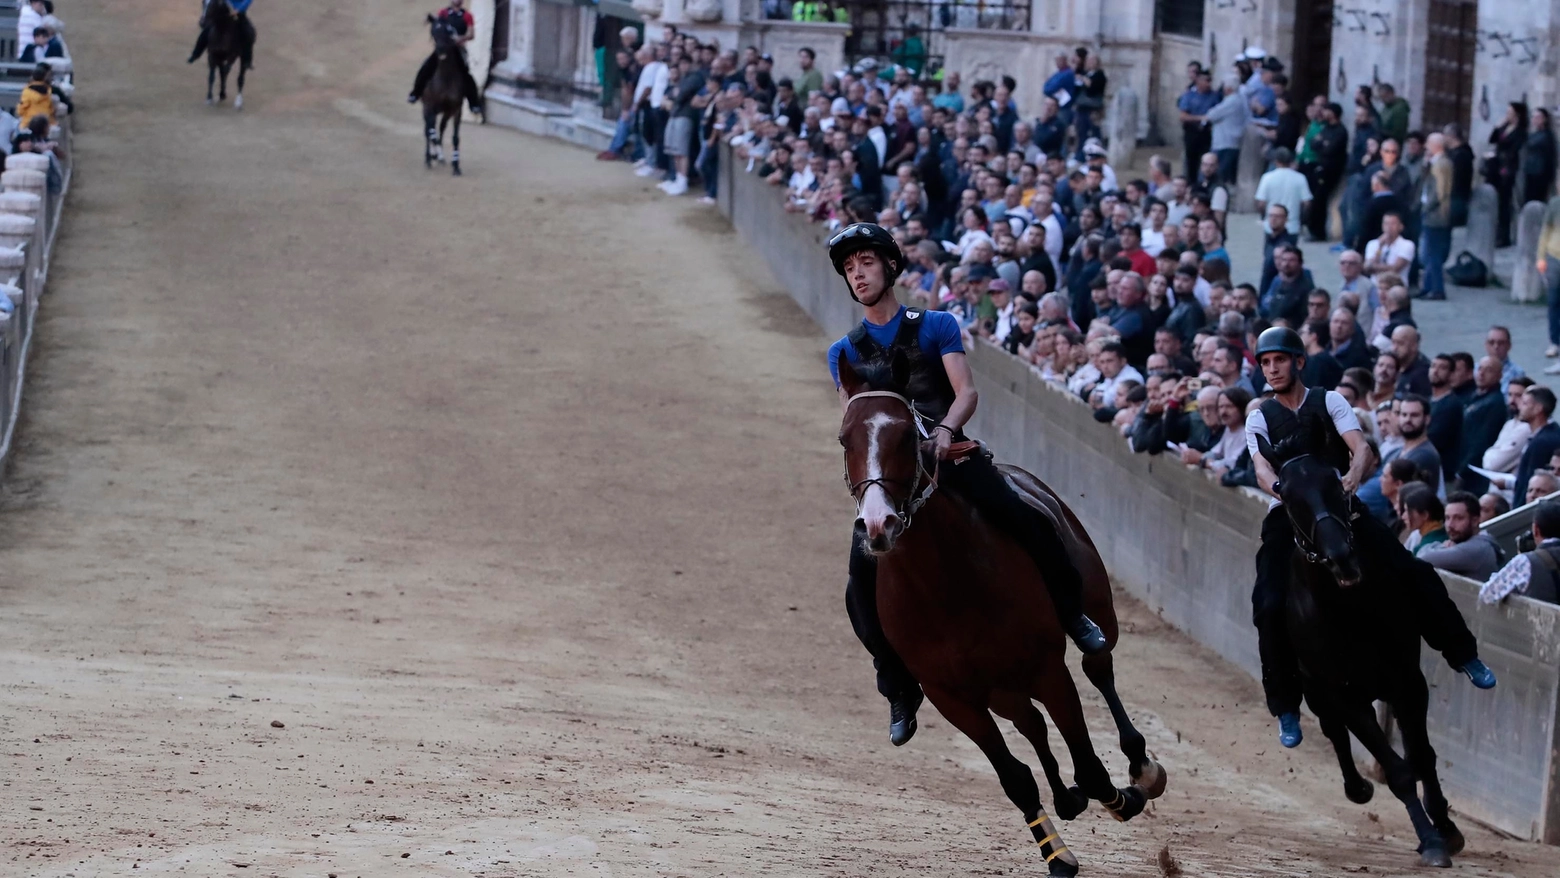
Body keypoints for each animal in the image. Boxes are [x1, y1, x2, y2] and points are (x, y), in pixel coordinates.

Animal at [414, 16, 461, 177]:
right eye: (433, 32)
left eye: (448, 31)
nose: (440, 50)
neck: (445, 78)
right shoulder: (430, 107)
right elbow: (431, 132)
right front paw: (434, 156)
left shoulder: (456, 109)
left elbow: (455, 137)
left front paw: (456, 166)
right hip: (426, 109)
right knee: (428, 130)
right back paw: (430, 157)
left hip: (446, 112)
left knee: (440, 127)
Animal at [836, 358, 1166, 878]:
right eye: (844, 439)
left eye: (908, 437)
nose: (877, 524)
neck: (944, 585)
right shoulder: (953, 697)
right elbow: (1015, 778)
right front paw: (1057, 855)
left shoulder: (1047, 669)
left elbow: (1091, 766)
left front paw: (1123, 798)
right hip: (999, 687)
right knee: (1031, 721)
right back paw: (1066, 797)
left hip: (1092, 609)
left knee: (1098, 665)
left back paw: (1141, 768)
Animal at [1254, 442, 1460, 867]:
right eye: (1286, 494)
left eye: (1337, 484)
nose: (1341, 558)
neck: (1349, 611)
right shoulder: (1341, 693)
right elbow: (1398, 771)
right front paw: (1430, 840)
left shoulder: (1407, 681)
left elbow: (1422, 756)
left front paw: (1446, 831)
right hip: (1316, 688)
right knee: (1332, 730)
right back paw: (1355, 785)